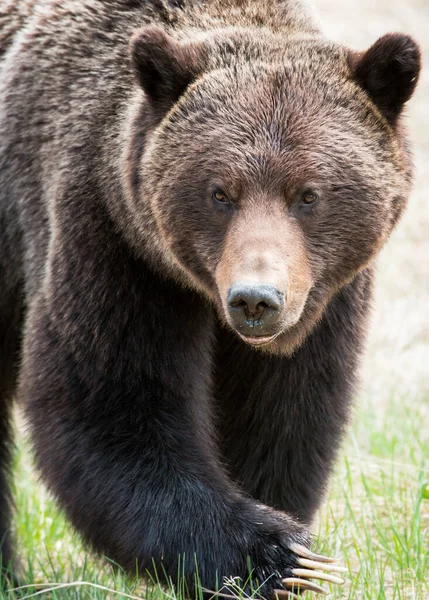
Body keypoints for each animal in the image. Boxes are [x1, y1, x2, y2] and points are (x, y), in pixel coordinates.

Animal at [0, 0, 420, 596]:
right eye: (220, 192)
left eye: (308, 194)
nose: (255, 299)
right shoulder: (111, 242)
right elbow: (111, 409)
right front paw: (277, 556)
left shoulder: (324, 301)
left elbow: (282, 419)